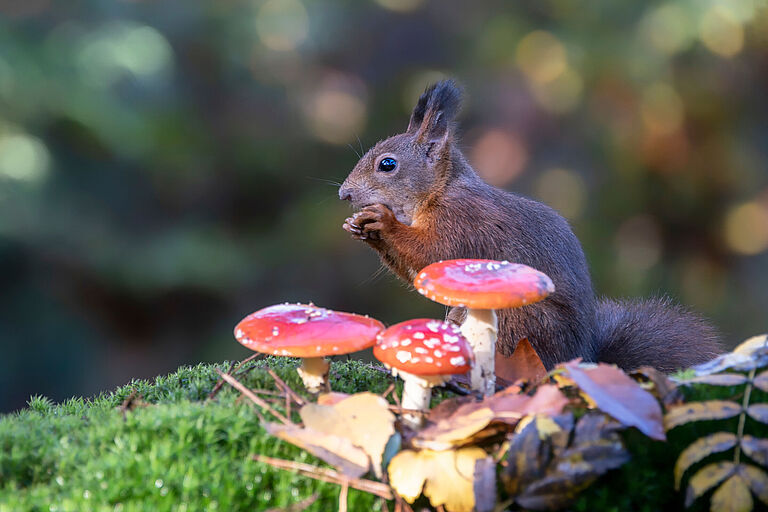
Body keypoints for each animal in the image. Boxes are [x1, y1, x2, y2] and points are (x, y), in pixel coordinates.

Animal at [338, 80, 721, 373]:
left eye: (388, 165)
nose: (344, 194)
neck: (439, 192)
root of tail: (576, 357)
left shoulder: (464, 222)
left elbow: (432, 252)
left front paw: (382, 221)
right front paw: (359, 227)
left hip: (517, 320)